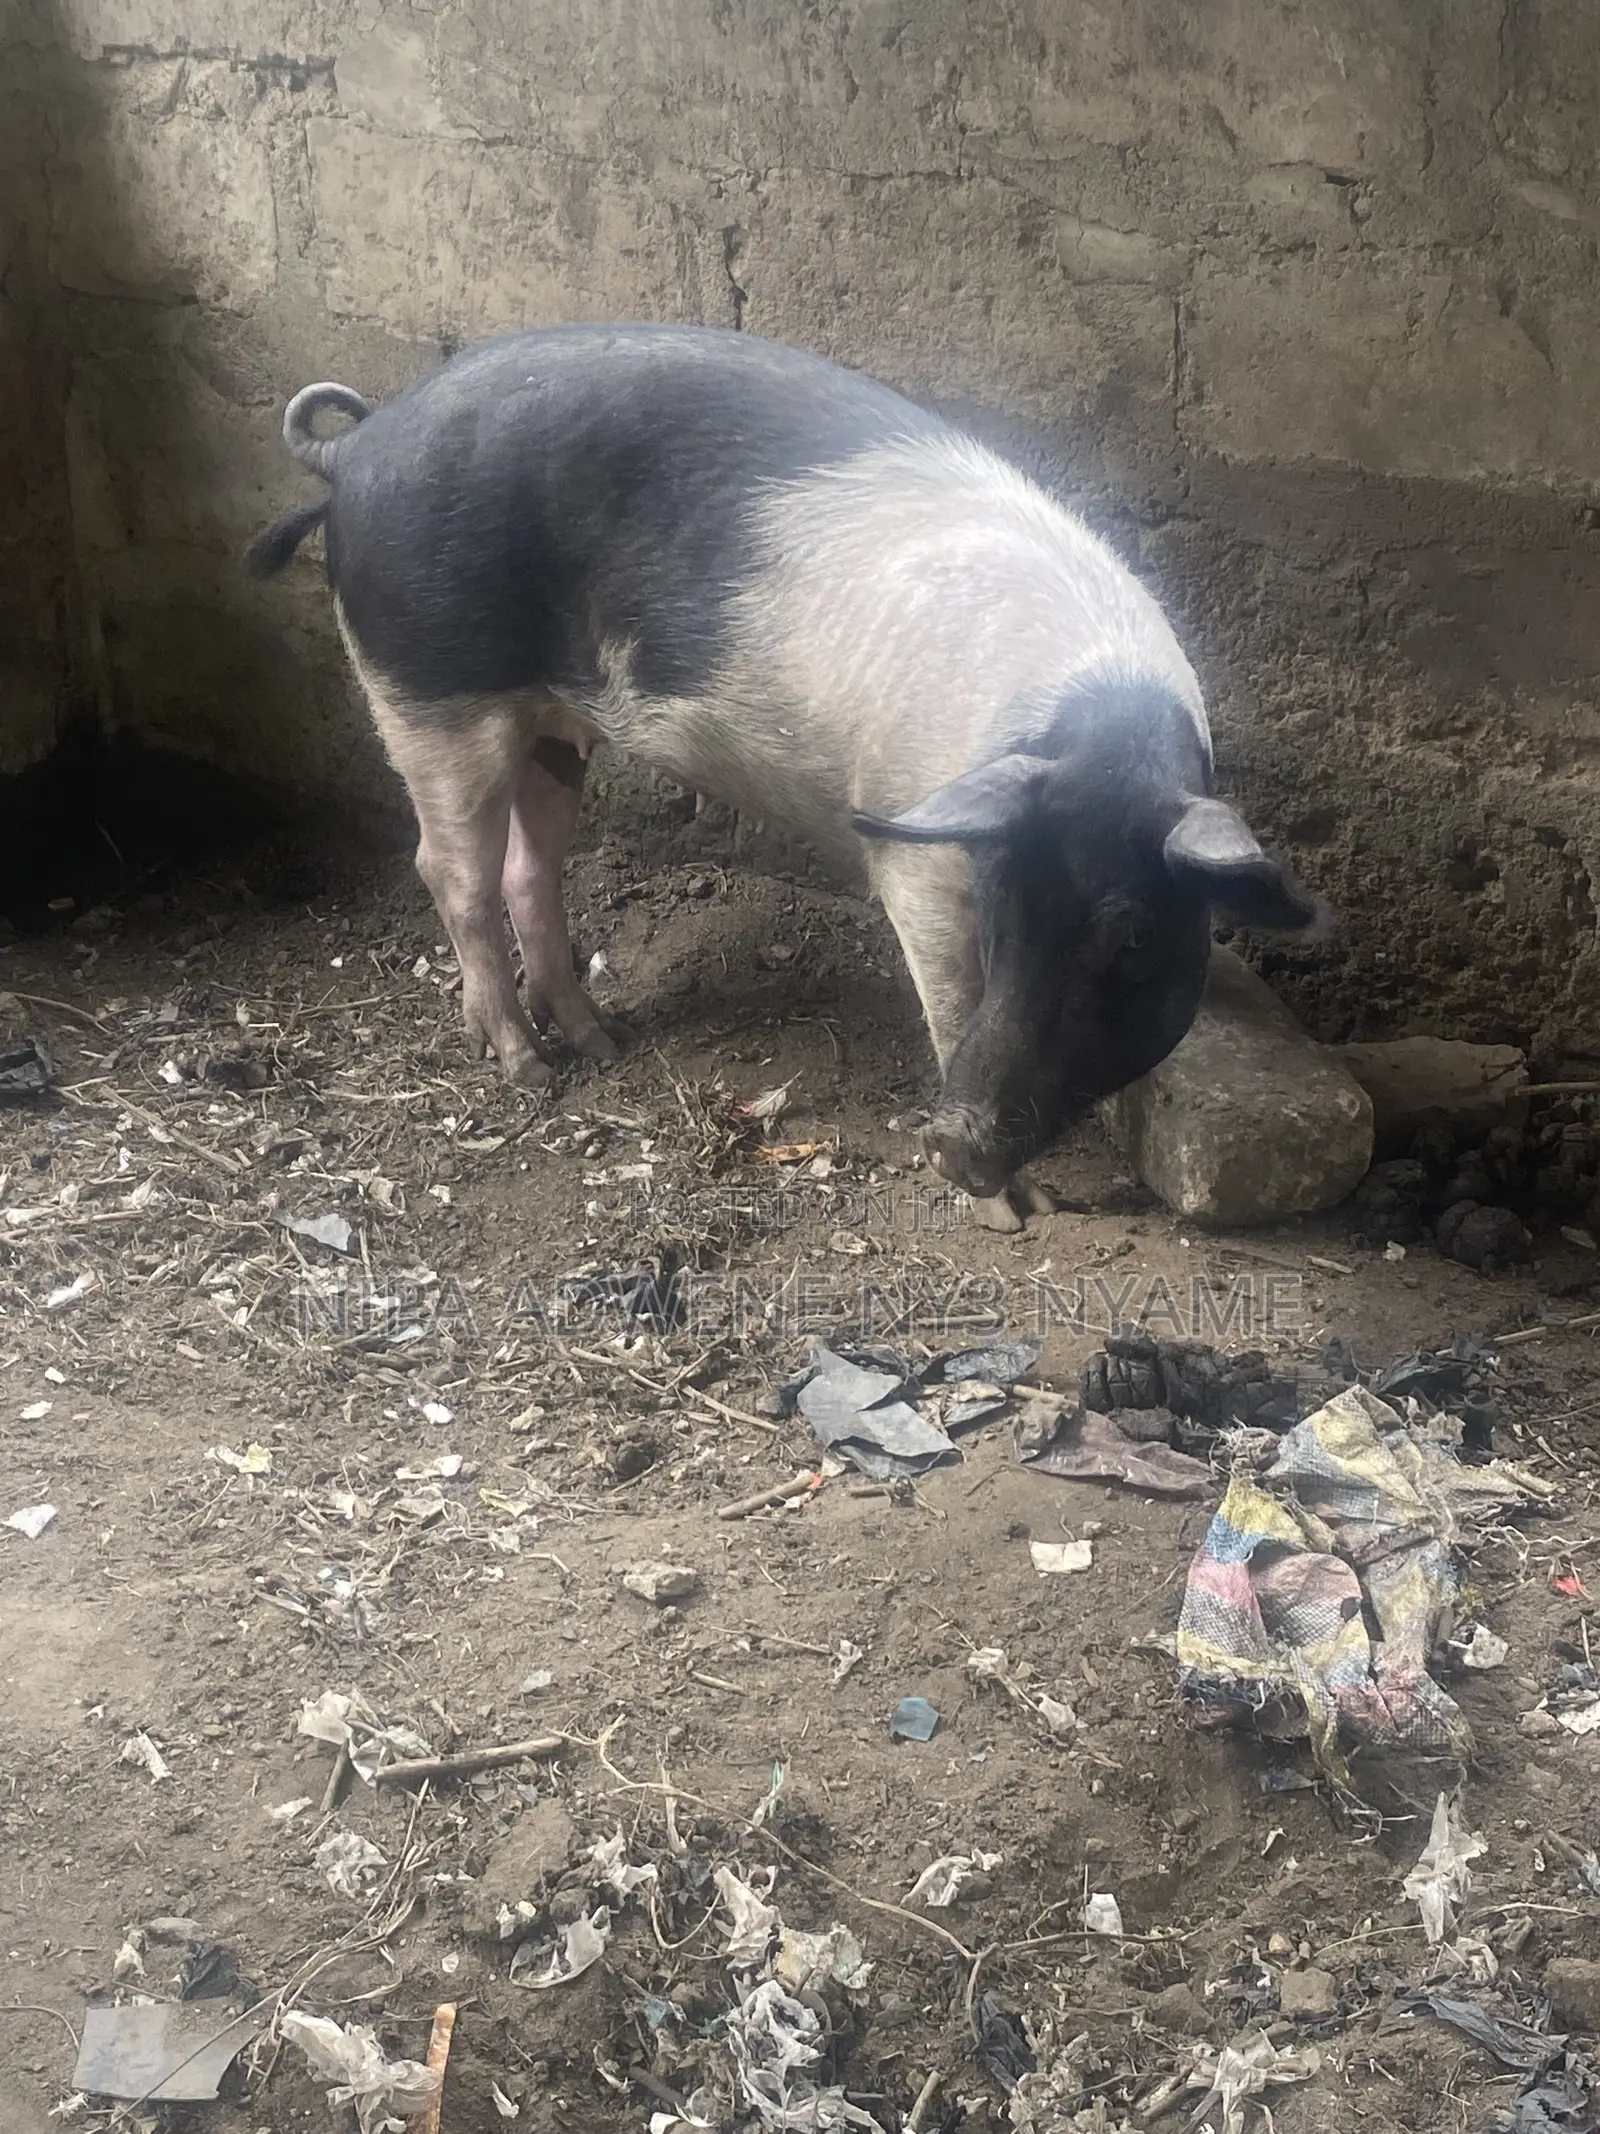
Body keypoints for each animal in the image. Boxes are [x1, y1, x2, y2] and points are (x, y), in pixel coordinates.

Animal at [247, 323, 1323, 1230]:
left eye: (1134, 940)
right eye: (1005, 912)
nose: (949, 1145)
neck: (1094, 737)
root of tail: (356, 451)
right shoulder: (916, 859)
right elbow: (951, 1004)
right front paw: (1017, 1215)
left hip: (553, 718)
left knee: (527, 867)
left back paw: (598, 1043)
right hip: (424, 691)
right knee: (449, 870)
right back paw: (526, 1070)